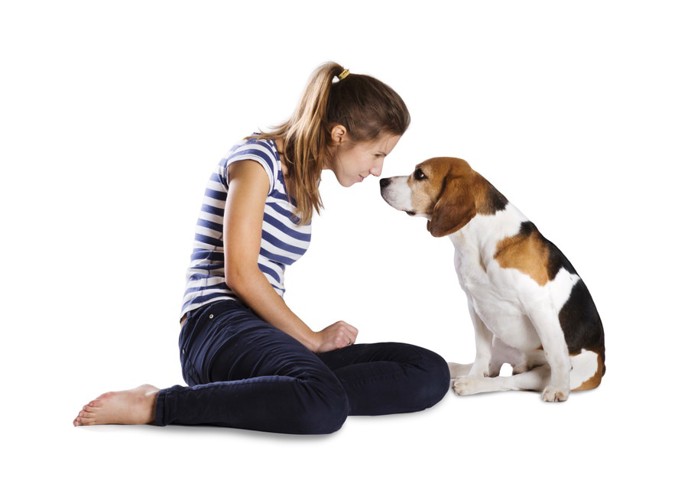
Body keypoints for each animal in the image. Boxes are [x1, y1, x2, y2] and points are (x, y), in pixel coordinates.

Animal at [378, 158, 604, 400]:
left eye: (420, 175)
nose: (382, 181)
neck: (477, 239)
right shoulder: (474, 304)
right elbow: (481, 351)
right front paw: (475, 373)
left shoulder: (538, 305)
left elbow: (555, 353)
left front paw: (559, 388)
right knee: (492, 367)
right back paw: (463, 372)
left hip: (551, 372)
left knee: (509, 381)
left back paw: (473, 385)